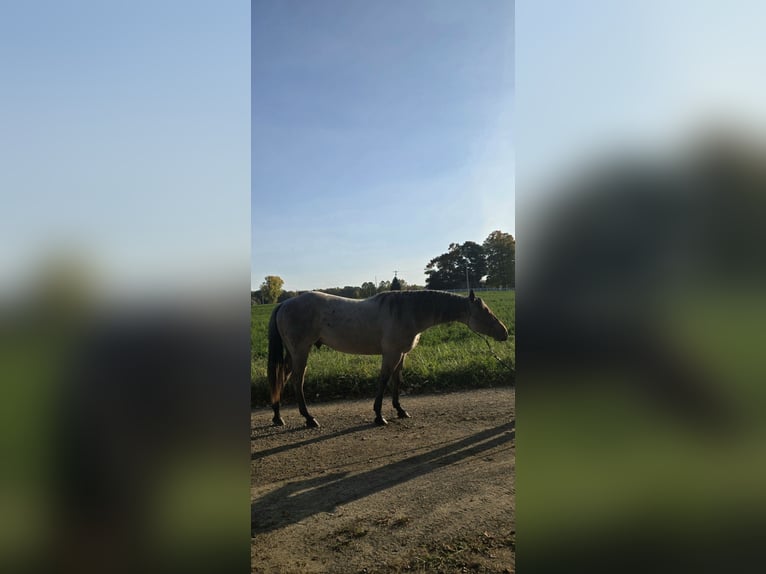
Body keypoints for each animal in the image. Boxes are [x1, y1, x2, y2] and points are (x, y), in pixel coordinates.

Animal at [268, 290, 510, 430]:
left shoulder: (401, 354)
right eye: (485, 312)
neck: (407, 311)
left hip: (293, 353)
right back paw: (308, 418)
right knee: (296, 380)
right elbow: (384, 381)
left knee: (282, 378)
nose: (505, 333)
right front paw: (379, 415)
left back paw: (277, 416)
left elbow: (396, 381)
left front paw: (400, 410)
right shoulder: (391, 353)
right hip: (301, 351)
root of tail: (284, 304)